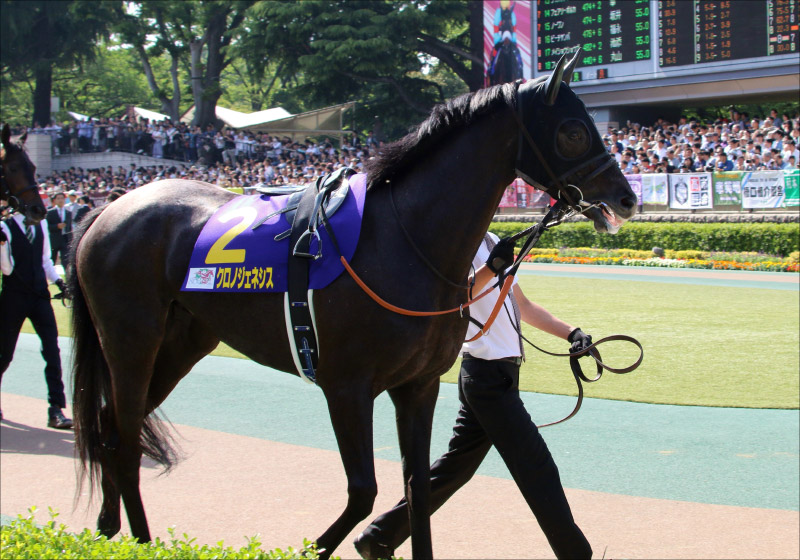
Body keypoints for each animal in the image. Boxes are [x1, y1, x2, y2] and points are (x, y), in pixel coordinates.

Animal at [69, 52, 636, 559]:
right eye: (572, 130)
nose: (627, 198)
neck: (404, 240)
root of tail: (107, 209)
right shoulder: (346, 385)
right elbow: (364, 491)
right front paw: (313, 548)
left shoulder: (419, 385)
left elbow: (416, 488)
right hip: (131, 338)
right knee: (124, 433)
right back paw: (139, 541)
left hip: (182, 342)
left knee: (112, 429)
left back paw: (107, 528)